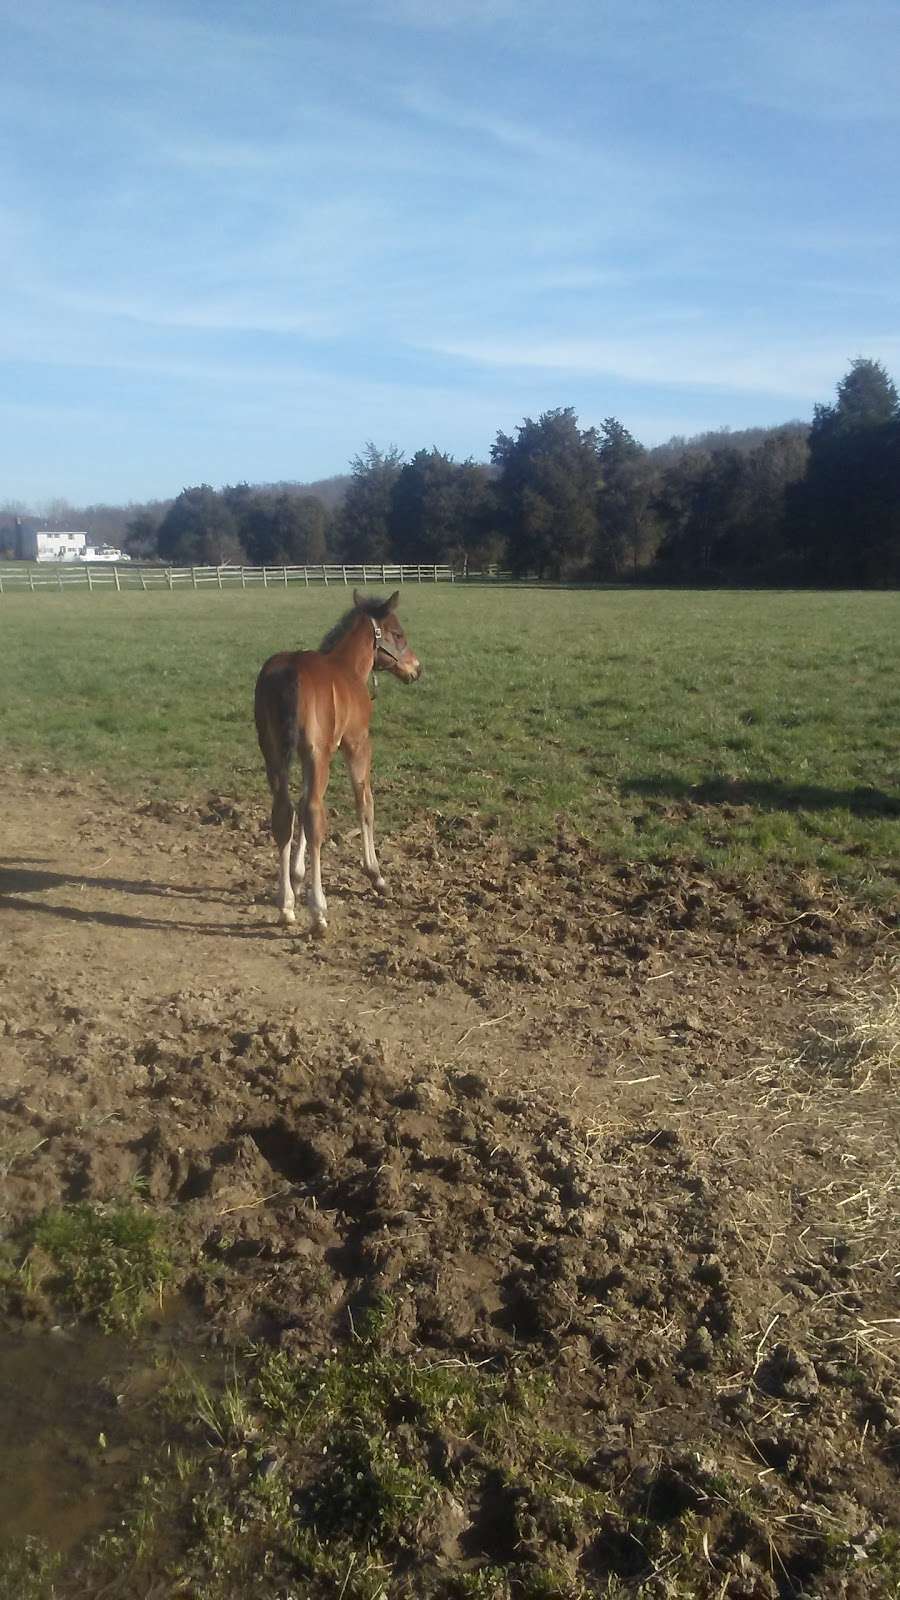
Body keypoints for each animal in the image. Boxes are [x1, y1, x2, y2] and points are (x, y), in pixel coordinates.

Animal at [253, 592, 419, 934]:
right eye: (398, 634)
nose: (416, 669)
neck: (348, 668)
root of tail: (289, 672)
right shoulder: (356, 744)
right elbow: (364, 802)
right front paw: (376, 874)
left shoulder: (317, 754)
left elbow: (303, 803)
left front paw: (297, 877)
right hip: (317, 752)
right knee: (314, 814)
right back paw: (318, 912)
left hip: (274, 751)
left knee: (285, 812)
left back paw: (286, 905)